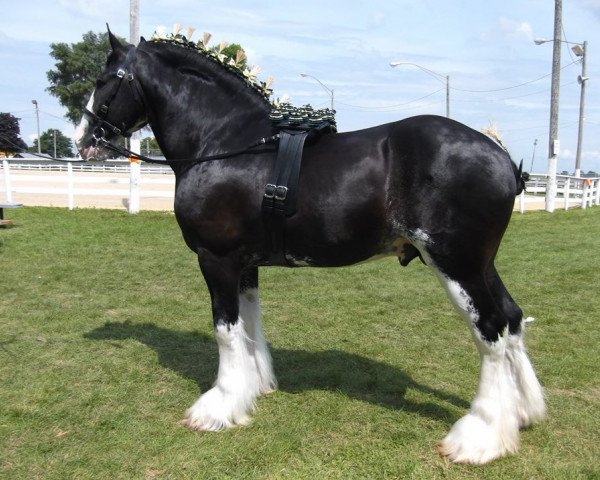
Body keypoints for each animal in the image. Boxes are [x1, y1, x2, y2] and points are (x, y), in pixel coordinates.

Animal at [74, 31, 544, 464]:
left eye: (104, 80)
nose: (83, 139)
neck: (225, 144)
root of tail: (501, 157)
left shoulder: (216, 260)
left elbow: (225, 330)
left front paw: (218, 407)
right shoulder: (244, 265)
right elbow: (249, 323)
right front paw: (254, 388)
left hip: (456, 264)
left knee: (491, 330)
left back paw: (480, 436)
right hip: (481, 265)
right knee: (512, 318)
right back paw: (524, 411)